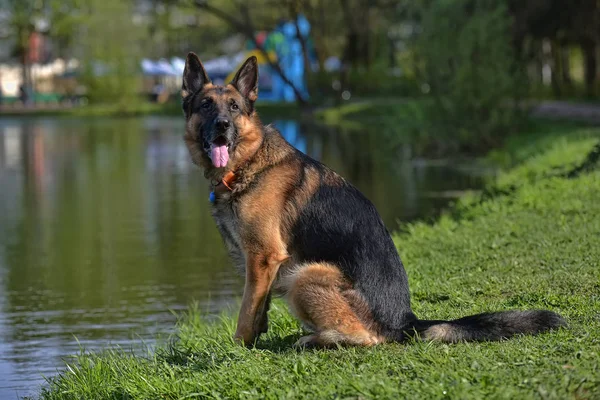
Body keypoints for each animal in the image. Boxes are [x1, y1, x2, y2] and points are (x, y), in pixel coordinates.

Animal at [180, 53, 564, 346]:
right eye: (205, 106)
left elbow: (246, 313)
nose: (222, 126)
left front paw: (238, 348)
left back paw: (316, 340)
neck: (250, 162)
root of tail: (406, 321)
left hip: (305, 276)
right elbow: (259, 311)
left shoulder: (262, 258)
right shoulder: (260, 264)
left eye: (234, 106)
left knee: (368, 339)